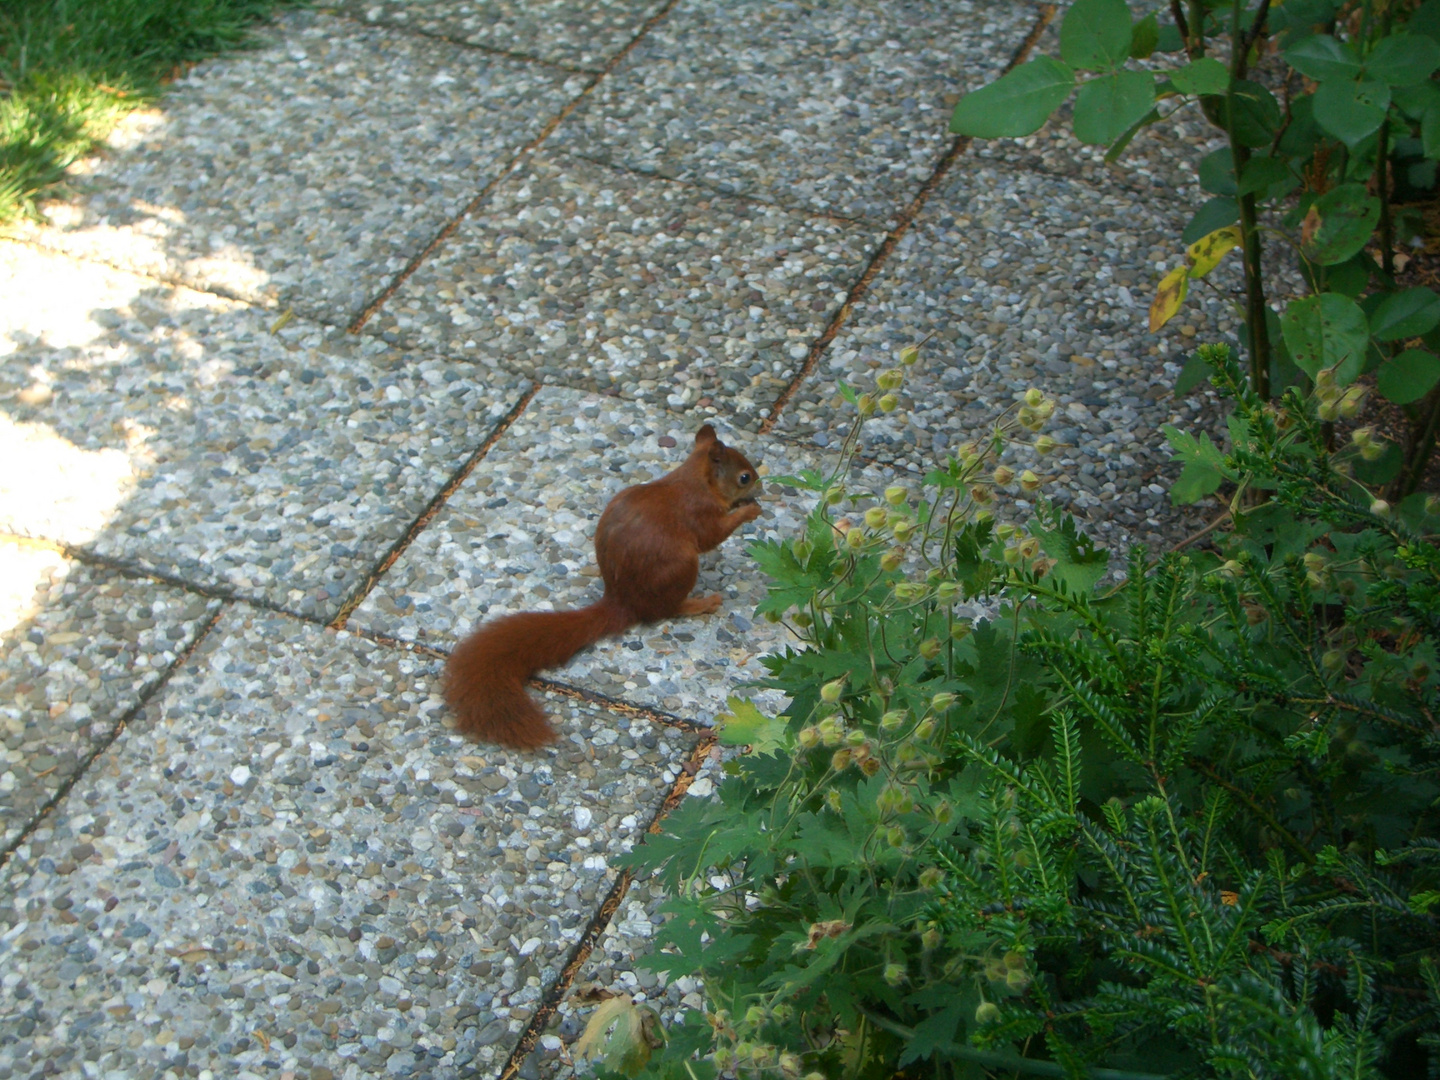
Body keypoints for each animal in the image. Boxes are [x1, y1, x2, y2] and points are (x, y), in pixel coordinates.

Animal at [443, 426, 766, 754]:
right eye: (744, 477)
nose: (761, 487)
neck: (695, 480)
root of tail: (622, 602)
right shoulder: (700, 512)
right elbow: (713, 535)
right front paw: (749, 511)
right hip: (681, 567)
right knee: (666, 610)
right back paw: (702, 603)